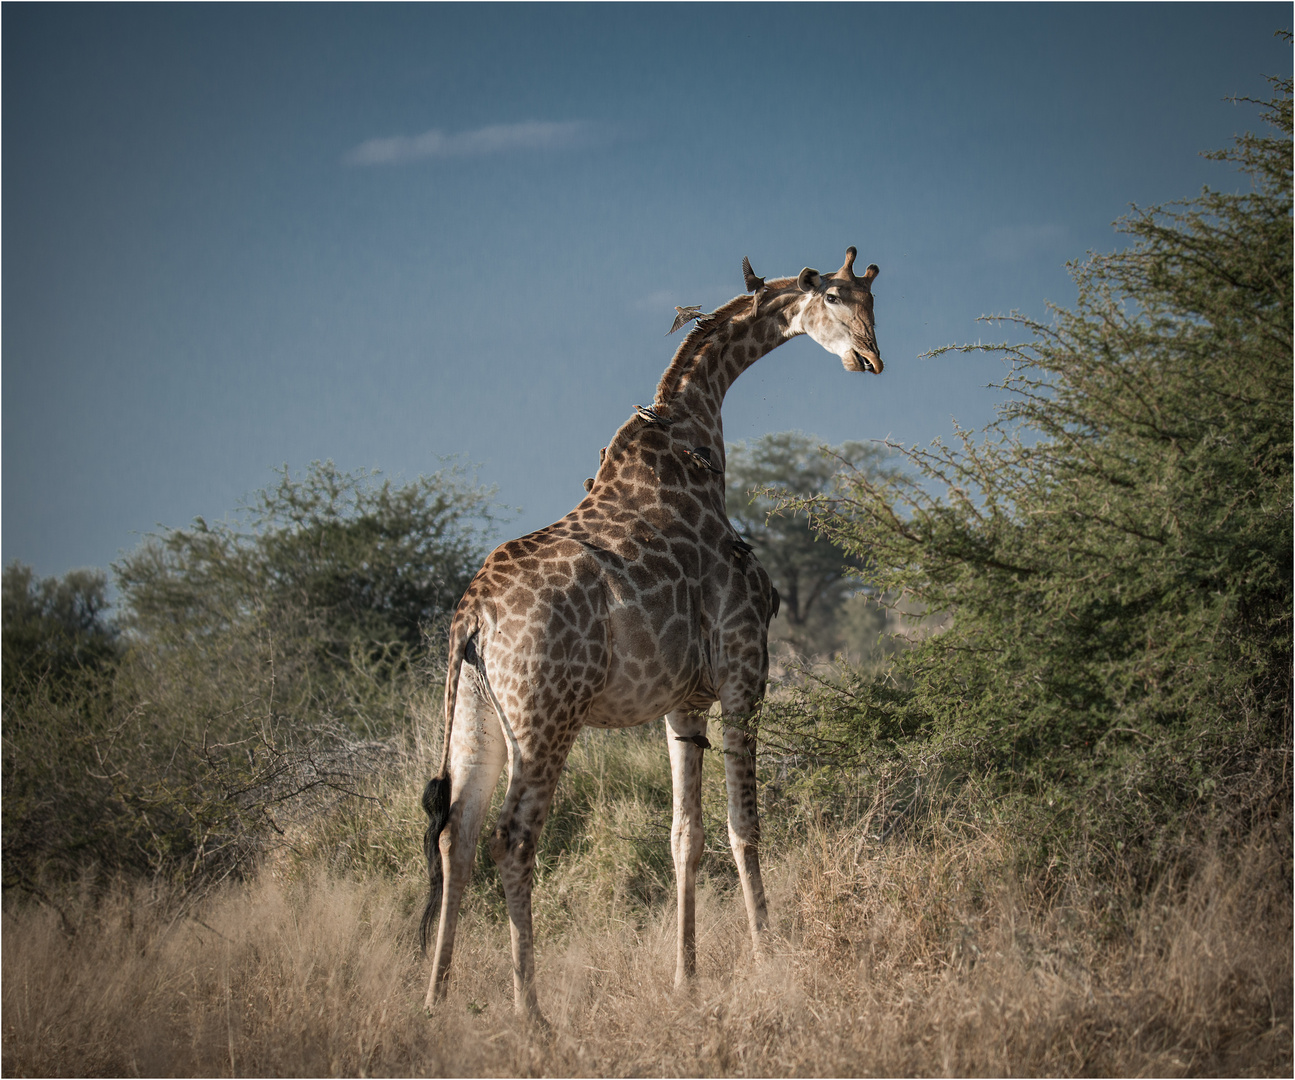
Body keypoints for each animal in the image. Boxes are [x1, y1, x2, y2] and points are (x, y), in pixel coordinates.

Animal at [422, 243, 880, 1020]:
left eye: (873, 302)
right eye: (836, 299)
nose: (870, 358)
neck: (699, 448)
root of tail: (473, 614)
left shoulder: (681, 702)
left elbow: (682, 835)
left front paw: (685, 977)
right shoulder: (743, 677)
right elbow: (743, 826)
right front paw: (768, 961)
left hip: (478, 712)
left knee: (459, 830)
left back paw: (434, 999)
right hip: (547, 713)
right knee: (514, 839)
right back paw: (530, 1012)